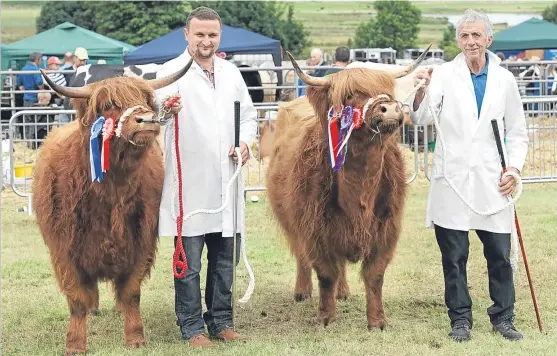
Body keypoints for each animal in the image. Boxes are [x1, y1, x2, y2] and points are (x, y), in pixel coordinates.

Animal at [32, 57, 194, 354]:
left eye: (146, 99)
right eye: (109, 104)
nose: (146, 120)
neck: (111, 190)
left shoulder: (141, 243)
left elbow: (131, 293)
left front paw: (135, 337)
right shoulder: (64, 250)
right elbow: (77, 298)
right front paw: (75, 344)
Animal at [264, 48, 430, 330]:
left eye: (386, 90)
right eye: (351, 95)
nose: (389, 108)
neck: (360, 188)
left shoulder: (387, 228)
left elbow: (374, 275)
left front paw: (377, 321)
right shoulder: (314, 228)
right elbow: (325, 273)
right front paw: (325, 317)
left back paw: (343, 292)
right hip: (291, 220)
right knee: (302, 256)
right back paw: (302, 291)